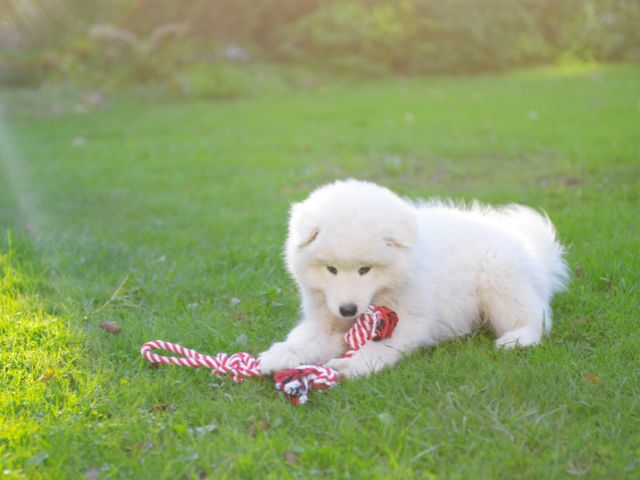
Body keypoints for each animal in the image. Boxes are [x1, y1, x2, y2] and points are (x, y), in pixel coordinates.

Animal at [258, 178, 568, 376]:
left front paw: (351, 365)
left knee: (537, 317)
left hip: (499, 278)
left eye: (365, 269)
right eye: (330, 269)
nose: (348, 309)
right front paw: (278, 355)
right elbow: (303, 338)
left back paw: (518, 338)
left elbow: (378, 348)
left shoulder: (409, 320)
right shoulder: (326, 318)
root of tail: (532, 251)